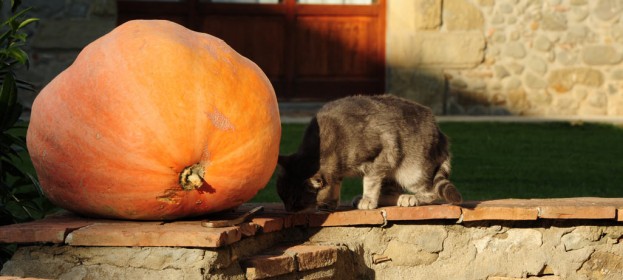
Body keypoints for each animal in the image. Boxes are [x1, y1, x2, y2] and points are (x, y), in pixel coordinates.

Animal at [280, 94, 464, 212]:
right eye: (282, 196)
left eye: (296, 200)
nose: (288, 210)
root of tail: (441, 134)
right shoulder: (336, 170)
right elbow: (334, 185)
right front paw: (329, 203)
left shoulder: (383, 154)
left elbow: (370, 181)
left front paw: (367, 199)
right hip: (393, 175)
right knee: (391, 193)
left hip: (411, 171)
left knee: (431, 192)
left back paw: (410, 198)